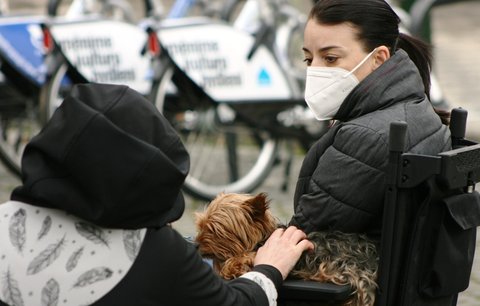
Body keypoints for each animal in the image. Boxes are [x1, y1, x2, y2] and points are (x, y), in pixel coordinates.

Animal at [195, 192, 378, 304]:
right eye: (201, 226)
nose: (196, 245)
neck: (262, 239)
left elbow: (233, 263)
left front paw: (232, 266)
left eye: (215, 230)